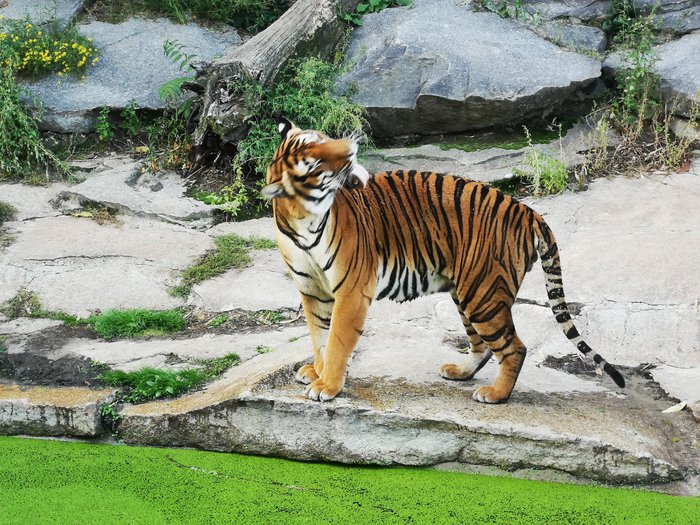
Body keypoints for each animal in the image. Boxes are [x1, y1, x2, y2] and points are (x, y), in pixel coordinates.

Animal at [262, 118, 625, 404]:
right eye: (314, 162)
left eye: (323, 139)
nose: (350, 148)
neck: (302, 219)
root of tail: (527, 210)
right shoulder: (313, 290)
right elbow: (319, 337)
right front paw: (317, 372)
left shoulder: (351, 289)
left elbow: (336, 340)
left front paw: (328, 386)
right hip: (470, 293)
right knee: (484, 346)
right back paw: (460, 372)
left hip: (483, 294)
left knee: (514, 348)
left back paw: (496, 395)